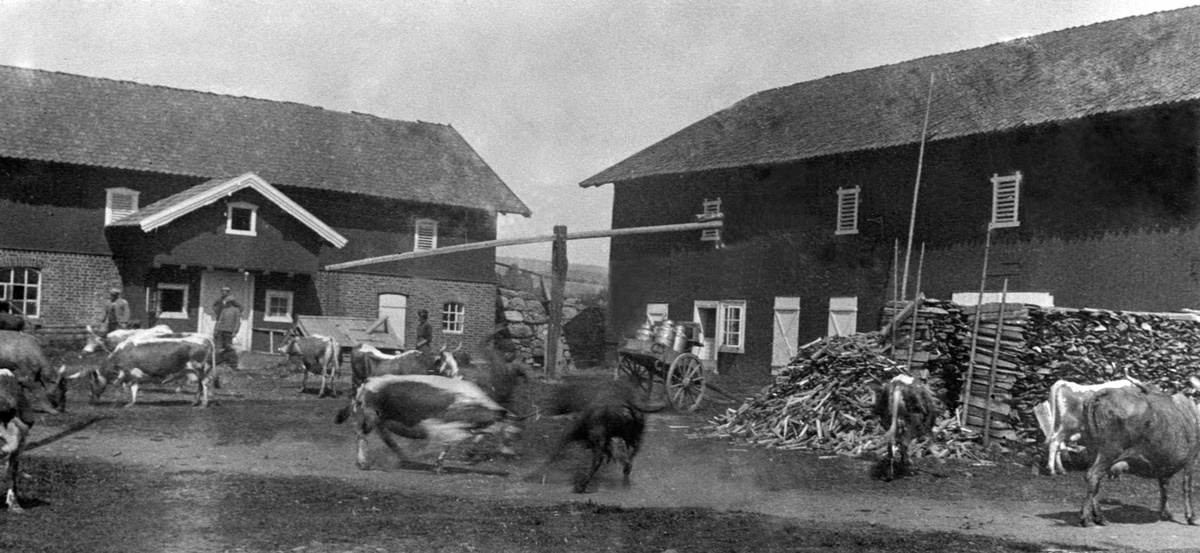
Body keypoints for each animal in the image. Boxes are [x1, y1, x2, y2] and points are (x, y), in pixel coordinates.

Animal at [338, 371, 525, 472]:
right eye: (513, 435)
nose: (516, 456)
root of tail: (368, 381)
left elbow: (452, 445)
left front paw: (441, 465)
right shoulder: (445, 426)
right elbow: (449, 443)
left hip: (380, 420)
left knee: (386, 437)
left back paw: (403, 457)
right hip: (370, 416)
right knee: (361, 435)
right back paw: (364, 463)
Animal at [1080, 379, 1200, 525]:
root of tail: (1108, 391)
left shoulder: (1164, 461)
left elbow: (1164, 486)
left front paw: (1166, 513)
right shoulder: (1191, 458)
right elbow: (1187, 487)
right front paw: (1191, 517)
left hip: (1093, 451)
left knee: (1094, 481)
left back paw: (1100, 518)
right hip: (1109, 452)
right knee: (1093, 476)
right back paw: (1087, 519)